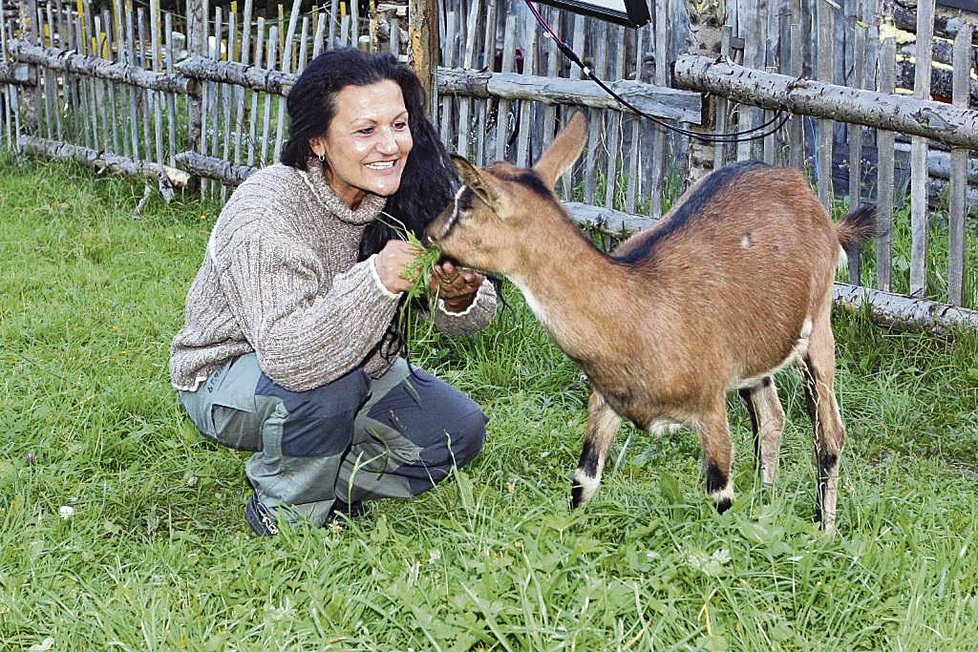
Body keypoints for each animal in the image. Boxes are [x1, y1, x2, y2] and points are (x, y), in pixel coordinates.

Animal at [426, 112, 876, 532]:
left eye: (465, 205)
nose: (428, 232)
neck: (638, 310)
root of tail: (811, 201)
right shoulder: (605, 401)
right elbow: (583, 482)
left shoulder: (710, 407)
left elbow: (720, 494)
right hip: (759, 354)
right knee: (771, 417)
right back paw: (767, 503)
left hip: (819, 326)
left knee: (830, 433)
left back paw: (824, 528)